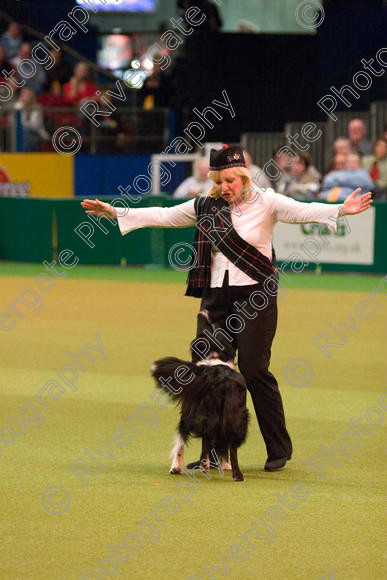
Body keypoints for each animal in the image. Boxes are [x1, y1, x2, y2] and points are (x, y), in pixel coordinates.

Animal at [150, 312, 250, 480]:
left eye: (208, 324)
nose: (202, 312)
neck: (215, 356)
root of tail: (221, 378)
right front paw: (222, 465)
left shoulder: (187, 411)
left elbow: (181, 441)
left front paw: (176, 467)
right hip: (239, 417)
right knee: (231, 445)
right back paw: (236, 474)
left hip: (201, 414)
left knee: (201, 438)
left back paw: (201, 466)